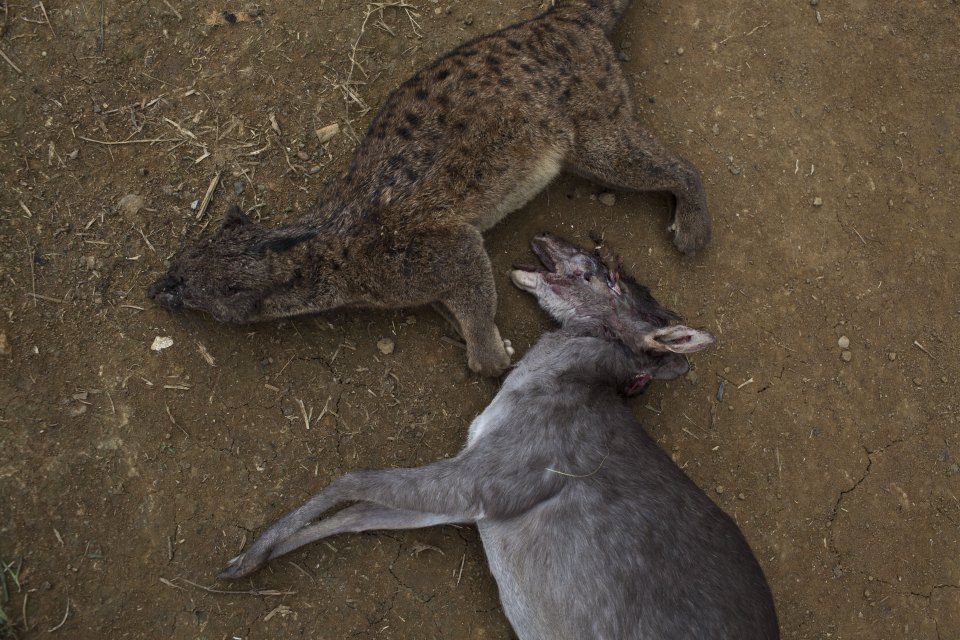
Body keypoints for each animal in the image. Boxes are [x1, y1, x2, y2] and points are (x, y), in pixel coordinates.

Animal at [221, 236, 776, 640]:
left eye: (604, 271)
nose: (547, 237)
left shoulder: (493, 478)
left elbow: (352, 480)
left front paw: (244, 558)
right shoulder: (475, 498)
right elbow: (361, 516)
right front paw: (253, 563)